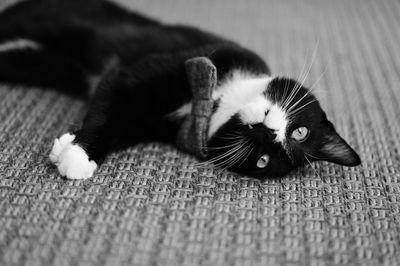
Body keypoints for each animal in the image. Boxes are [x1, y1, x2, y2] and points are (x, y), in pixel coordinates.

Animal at [0, 0, 360, 180]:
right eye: (300, 131)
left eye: (263, 160)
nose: (268, 131)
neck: (212, 102)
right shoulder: (177, 61)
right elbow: (112, 98)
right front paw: (79, 152)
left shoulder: (150, 121)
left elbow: (116, 118)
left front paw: (72, 151)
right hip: (52, 20)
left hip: (40, 64)